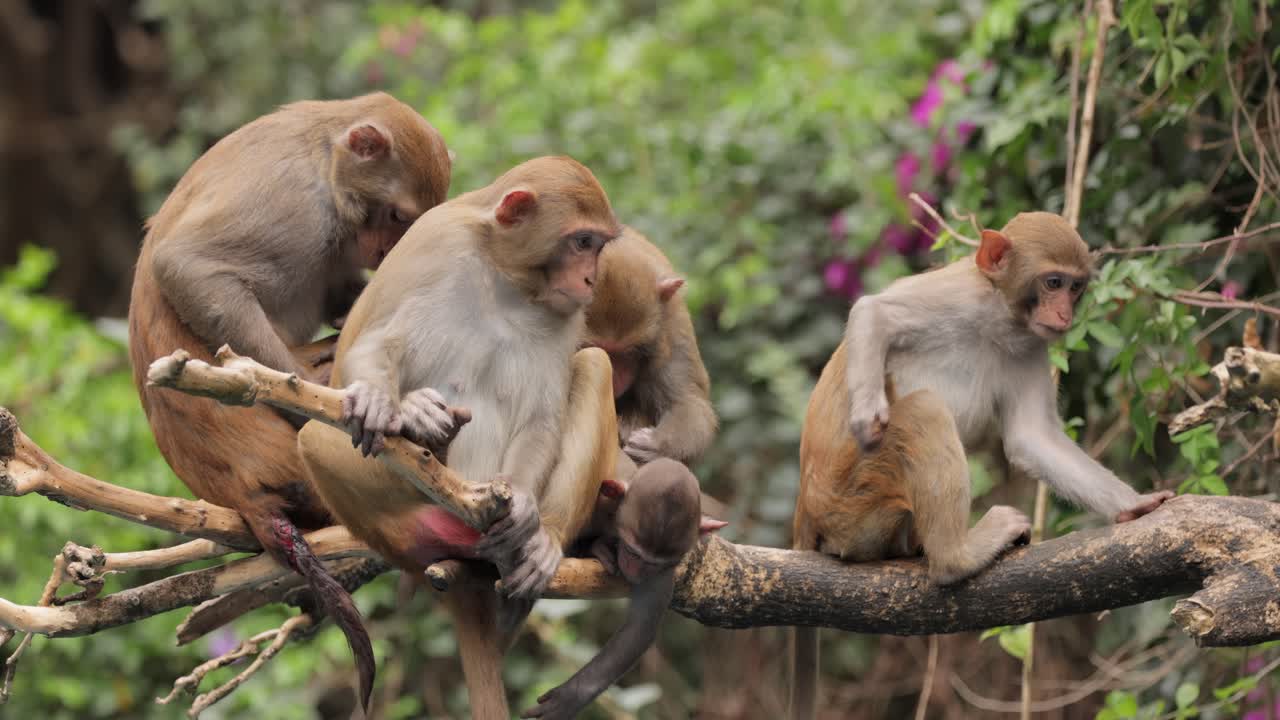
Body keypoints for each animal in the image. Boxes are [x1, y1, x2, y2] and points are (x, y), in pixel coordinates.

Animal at [127, 92, 451, 711]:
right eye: (396, 216)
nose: (386, 250)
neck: (326, 153)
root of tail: (238, 490)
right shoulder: (298, 208)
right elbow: (188, 266)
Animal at [296, 155, 623, 719]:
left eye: (598, 246)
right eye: (583, 241)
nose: (590, 278)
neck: (505, 275)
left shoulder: (565, 309)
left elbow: (542, 416)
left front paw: (524, 509)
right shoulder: (438, 243)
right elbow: (376, 344)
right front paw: (392, 405)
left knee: (595, 365)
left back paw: (541, 540)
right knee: (317, 436)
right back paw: (425, 529)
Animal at [521, 456, 726, 720]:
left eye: (652, 563)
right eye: (632, 551)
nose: (635, 569)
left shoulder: (661, 574)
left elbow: (638, 629)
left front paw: (571, 696)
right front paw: (597, 547)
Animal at [583, 226, 717, 465]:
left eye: (629, 352)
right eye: (598, 347)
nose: (613, 377)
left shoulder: (672, 327)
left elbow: (689, 402)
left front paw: (659, 444)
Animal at [787, 212, 1175, 720]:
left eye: (1075, 288)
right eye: (1052, 283)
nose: (1064, 315)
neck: (999, 319)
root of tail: (808, 511)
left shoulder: (1031, 344)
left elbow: (1032, 438)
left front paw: (1136, 505)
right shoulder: (958, 298)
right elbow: (873, 312)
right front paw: (867, 411)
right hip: (852, 505)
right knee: (926, 411)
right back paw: (957, 556)